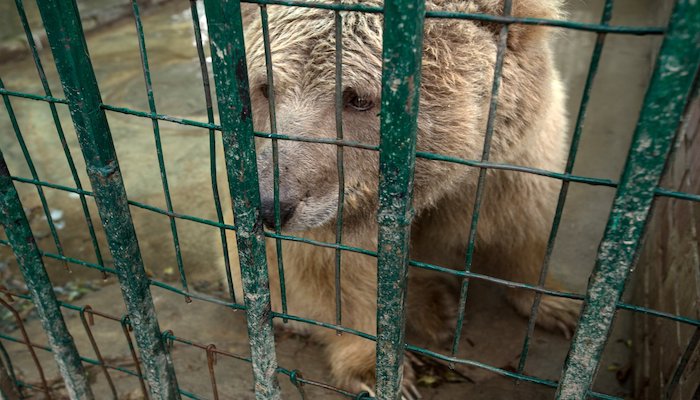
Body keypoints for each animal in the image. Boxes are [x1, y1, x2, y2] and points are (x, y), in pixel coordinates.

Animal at [219, 0, 580, 396]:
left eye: (358, 98)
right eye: (266, 87)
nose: (270, 205)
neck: (435, 185)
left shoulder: (512, 163)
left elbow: (522, 225)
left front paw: (557, 307)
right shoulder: (332, 215)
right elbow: (337, 277)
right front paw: (376, 371)